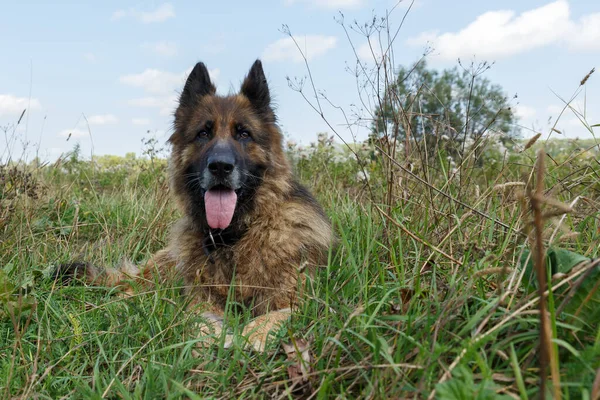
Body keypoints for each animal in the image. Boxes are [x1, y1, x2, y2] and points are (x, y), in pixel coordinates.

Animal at [59, 58, 332, 350]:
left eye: (244, 134)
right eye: (203, 133)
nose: (220, 166)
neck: (233, 237)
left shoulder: (297, 299)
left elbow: (277, 315)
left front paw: (253, 335)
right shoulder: (199, 299)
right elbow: (198, 318)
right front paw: (212, 336)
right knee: (129, 289)